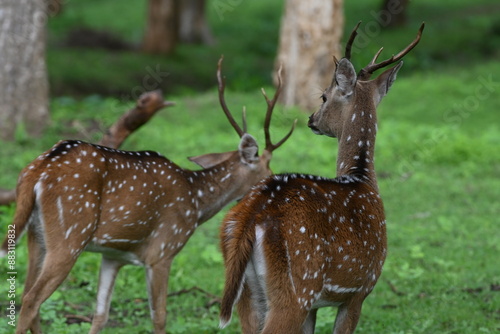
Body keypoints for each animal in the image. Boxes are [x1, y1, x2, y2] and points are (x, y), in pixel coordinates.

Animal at [0, 57, 294, 334]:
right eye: (267, 167)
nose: (277, 181)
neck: (197, 201)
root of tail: (36, 171)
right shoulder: (163, 250)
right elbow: (160, 317)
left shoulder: (113, 256)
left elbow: (100, 316)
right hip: (70, 233)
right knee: (32, 299)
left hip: (36, 235)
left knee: (26, 294)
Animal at [219, 22, 426, 332]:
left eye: (324, 97)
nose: (311, 119)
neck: (363, 180)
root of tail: (251, 215)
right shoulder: (361, 290)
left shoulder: (319, 305)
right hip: (297, 289)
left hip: (247, 289)